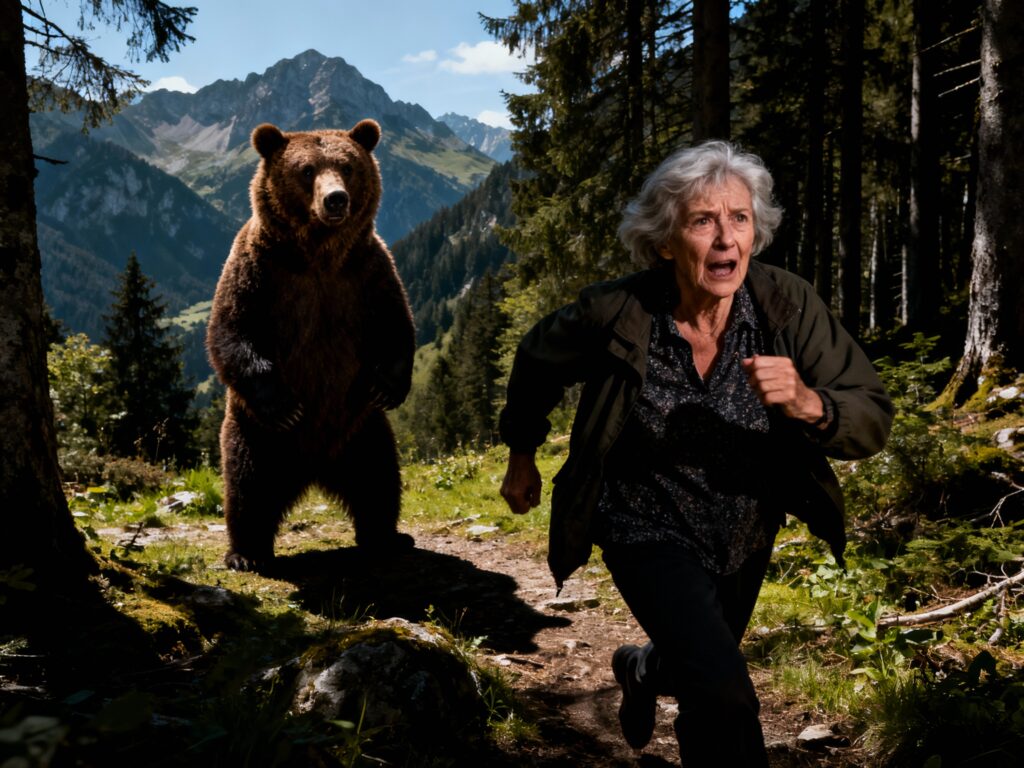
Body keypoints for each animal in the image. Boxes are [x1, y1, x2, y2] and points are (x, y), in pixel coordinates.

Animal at [206, 119, 416, 571]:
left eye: (347, 166)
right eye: (306, 170)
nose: (336, 198)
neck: (319, 256)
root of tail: (315, 468)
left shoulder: (368, 271)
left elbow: (397, 324)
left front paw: (388, 385)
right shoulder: (257, 269)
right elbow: (231, 331)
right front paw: (283, 403)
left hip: (362, 429)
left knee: (379, 481)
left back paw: (386, 536)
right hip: (256, 435)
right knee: (247, 487)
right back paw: (245, 552)